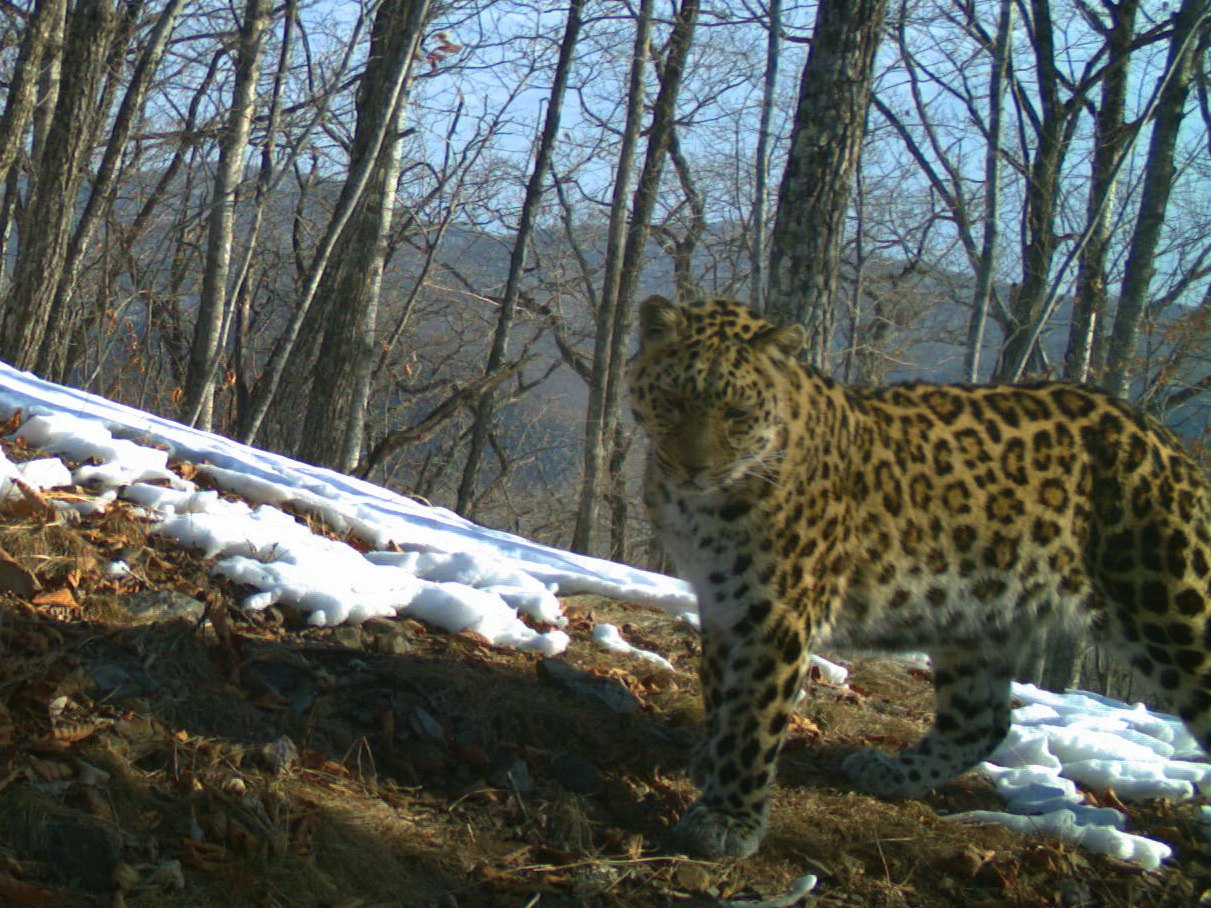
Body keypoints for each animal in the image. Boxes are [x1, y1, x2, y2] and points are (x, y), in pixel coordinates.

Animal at [624, 296, 1211, 861]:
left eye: (738, 412)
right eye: (672, 399)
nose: (695, 468)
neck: (702, 508)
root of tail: (1164, 439)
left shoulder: (777, 612)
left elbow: (753, 716)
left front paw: (727, 818)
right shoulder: (720, 597)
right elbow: (719, 686)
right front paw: (710, 757)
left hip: (1171, 604)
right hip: (979, 616)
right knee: (981, 722)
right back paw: (890, 772)